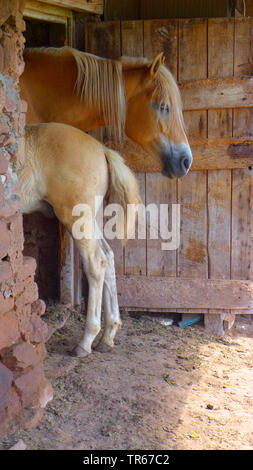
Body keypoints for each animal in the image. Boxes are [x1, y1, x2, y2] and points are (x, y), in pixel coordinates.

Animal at [19, 121, 142, 356]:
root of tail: (102, 149)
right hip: (91, 218)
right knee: (109, 256)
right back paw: (108, 336)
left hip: (77, 218)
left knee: (96, 262)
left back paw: (86, 341)